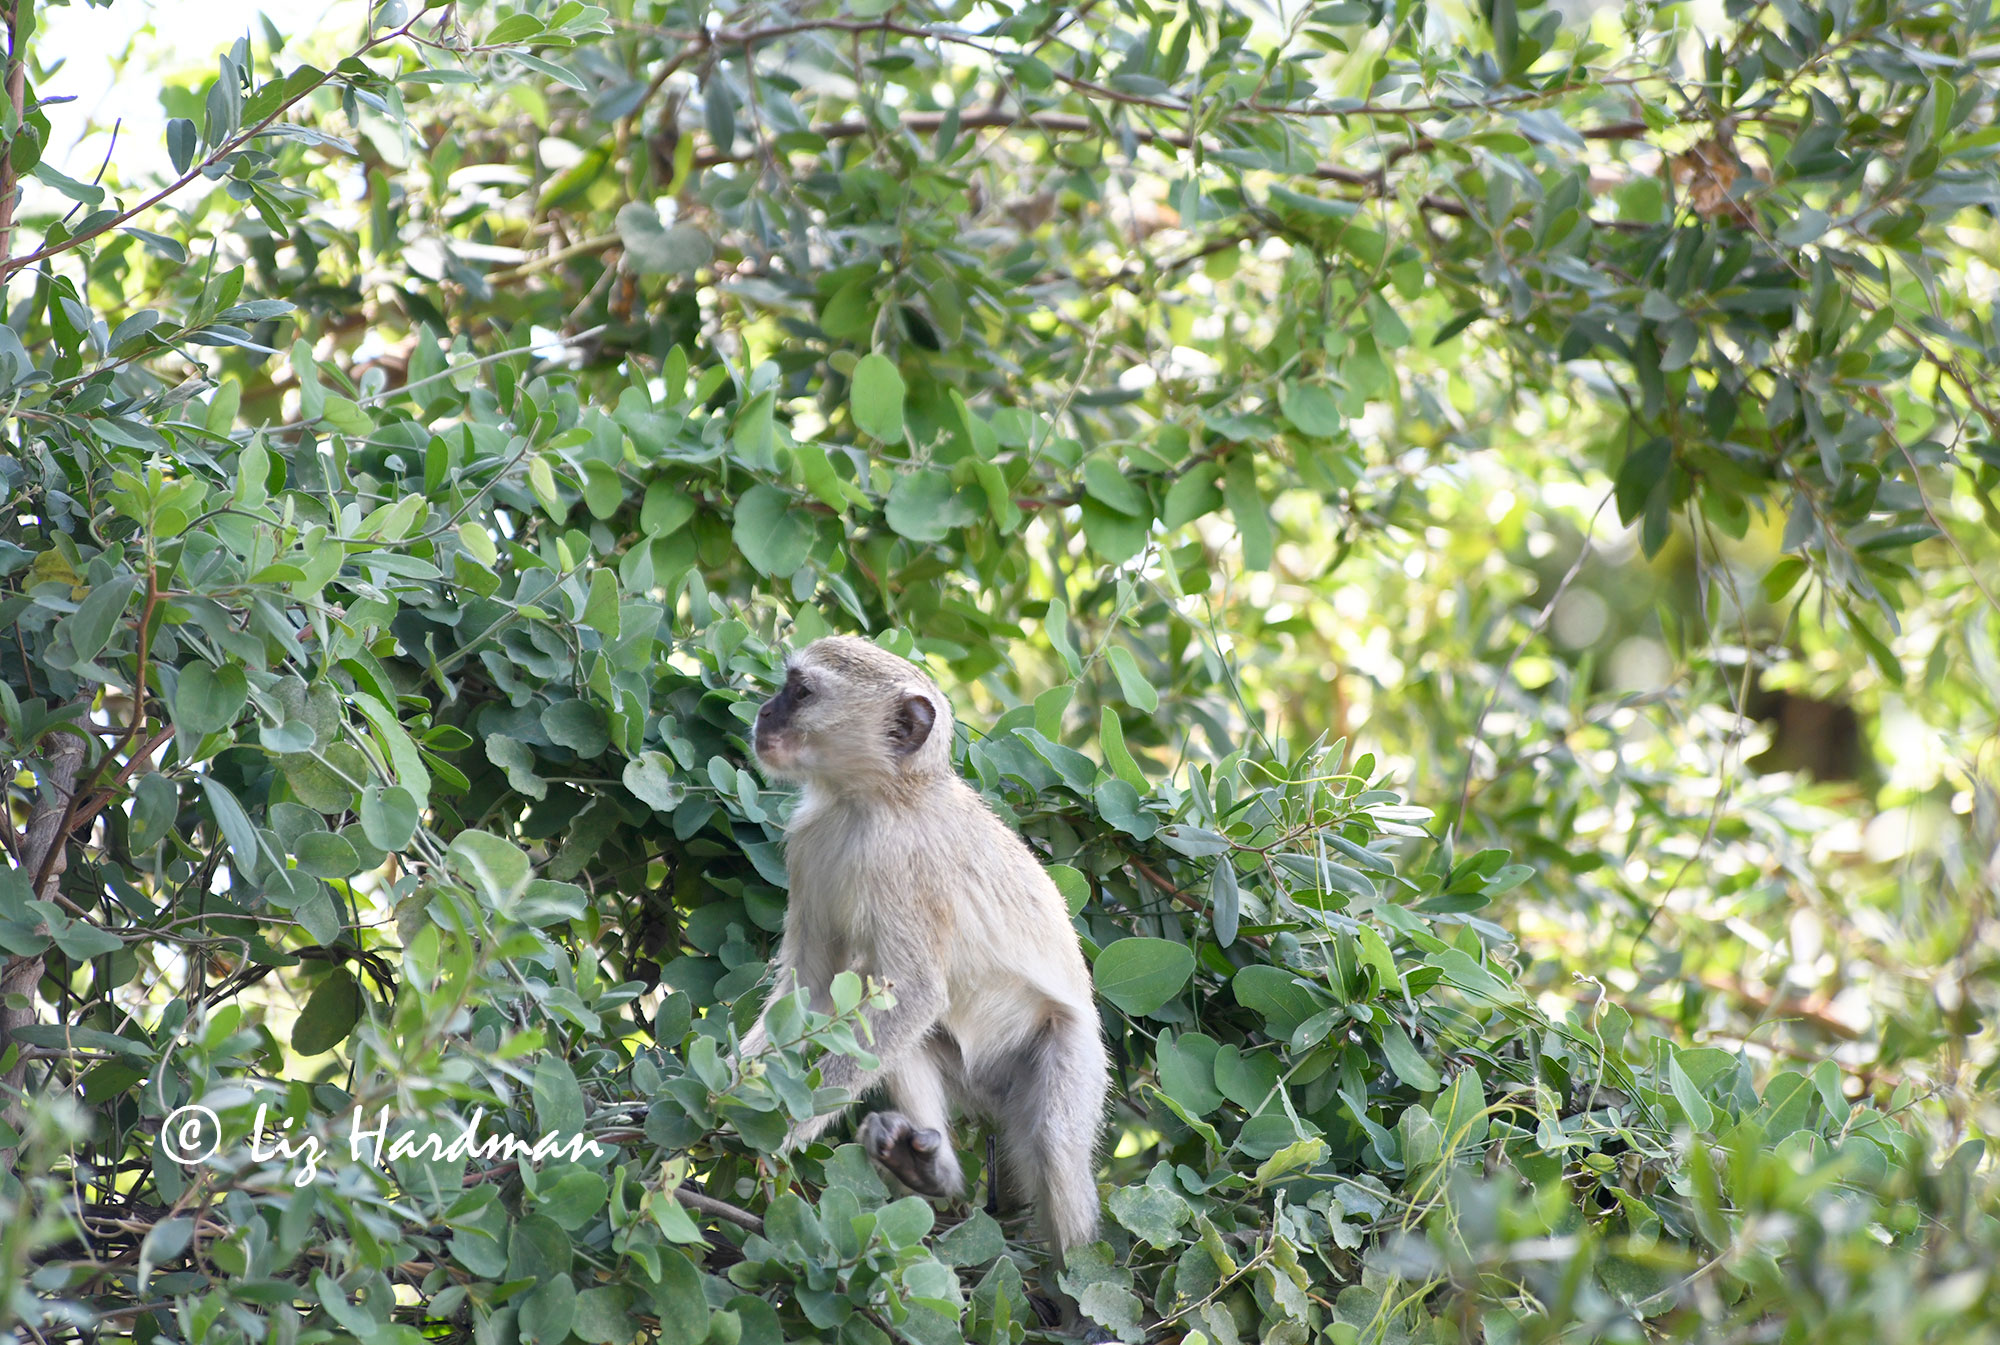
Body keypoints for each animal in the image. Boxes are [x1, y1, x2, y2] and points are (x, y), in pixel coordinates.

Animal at [739, 635, 1110, 1272]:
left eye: (801, 692)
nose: (764, 712)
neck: (873, 800)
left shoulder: (905, 869)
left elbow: (915, 992)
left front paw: (772, 1127)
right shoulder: (809, 843)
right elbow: (813, 989)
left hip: (1074, 1053)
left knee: (1056, 1145)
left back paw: (1074, 1285)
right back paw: (927, 1171)